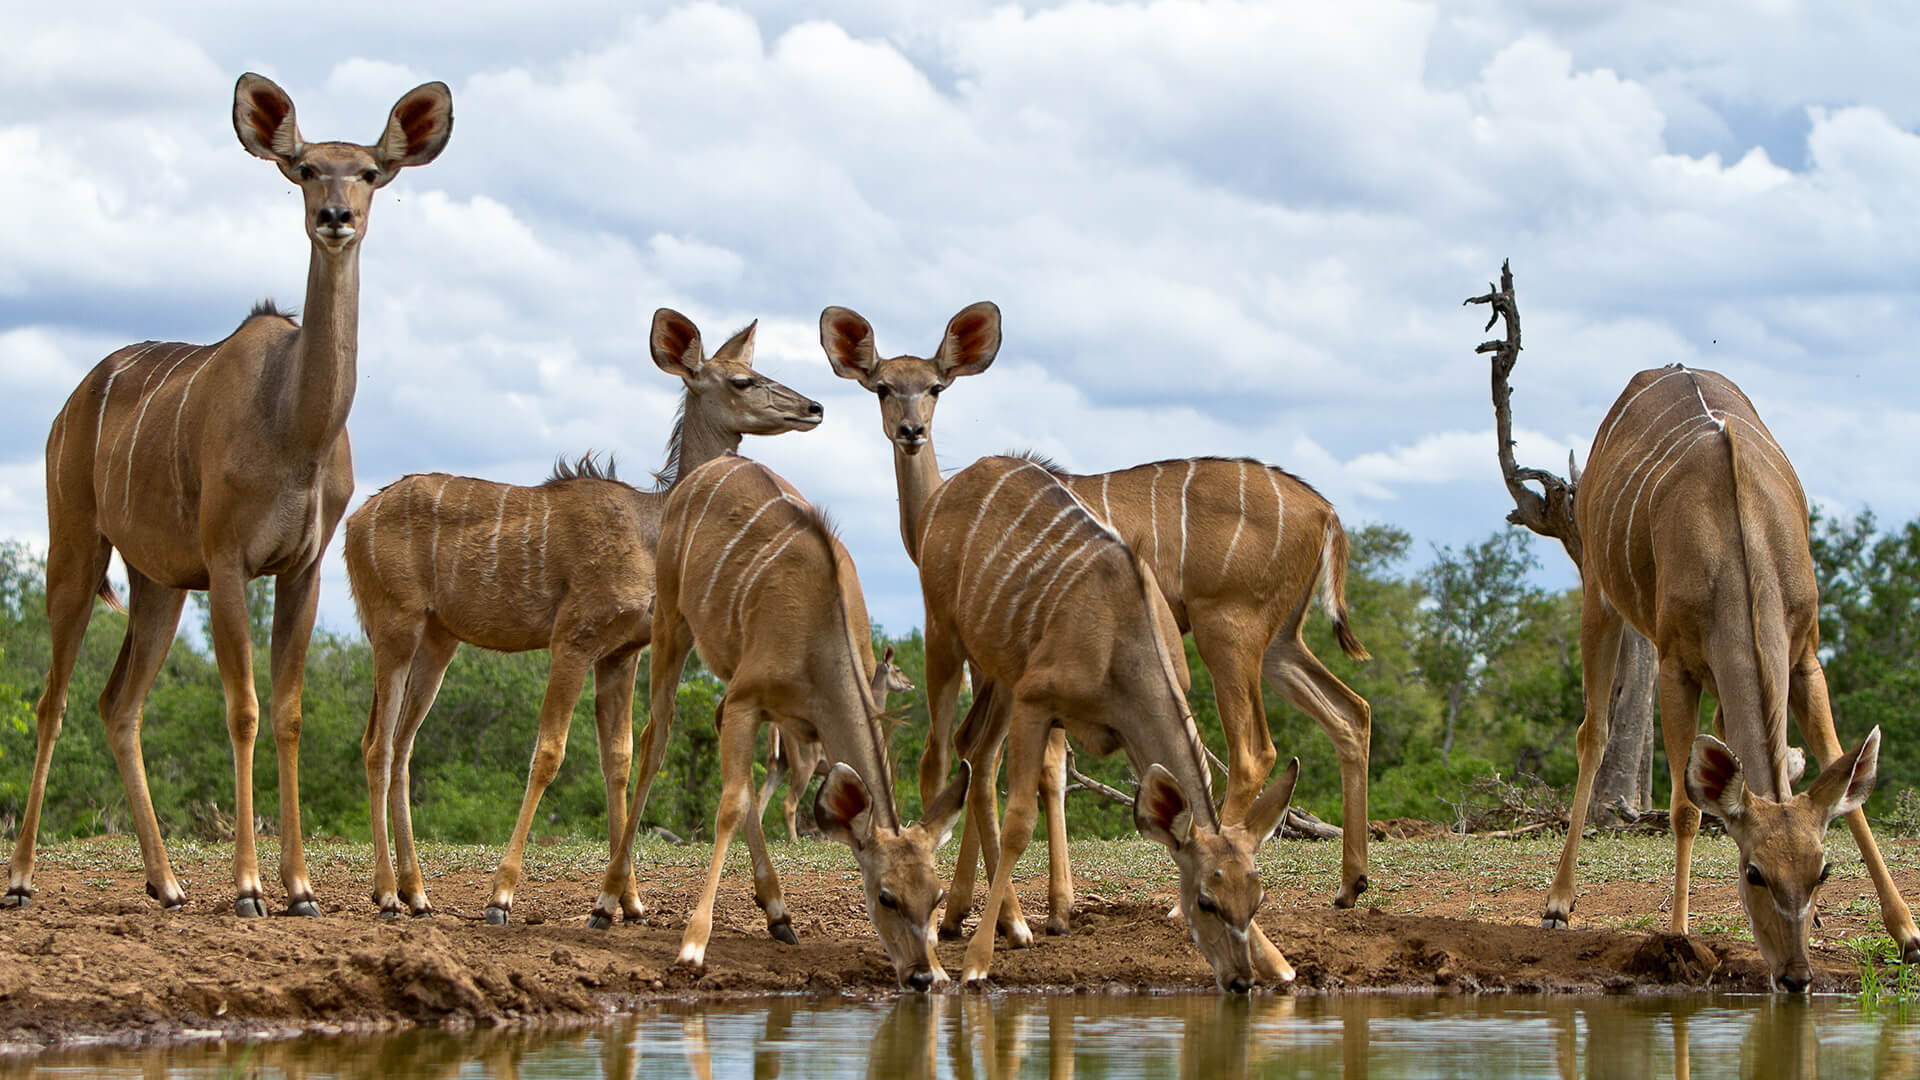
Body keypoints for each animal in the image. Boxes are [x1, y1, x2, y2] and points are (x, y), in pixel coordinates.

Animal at [5, 75, 451, 910]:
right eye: (306, 168)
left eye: (369, 172)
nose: (336, 217)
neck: (294, 426)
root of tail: (68, 405)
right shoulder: (228, 563)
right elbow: (242, 709)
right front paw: (248, 885)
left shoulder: (301, 569)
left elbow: (289, 712)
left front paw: (300, 887)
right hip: (76, 546)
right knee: (53, 701)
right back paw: (19, 879)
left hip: (156, 583)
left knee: (117, 704)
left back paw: (167, 882)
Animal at [347, 307, 825, 922]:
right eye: (742, 380)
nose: (812, 407)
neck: (652, 528)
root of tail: (353, 523)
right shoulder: (574, 639)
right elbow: (548, 753)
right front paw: (501, 895)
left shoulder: (621, 653)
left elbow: (618, 759)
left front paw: (629, 901)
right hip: (395, 628)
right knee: (378, 745)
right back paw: (386, 892)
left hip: (439, 640)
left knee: (405, 745)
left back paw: (417, 892)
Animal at [587, 453, 975, 983]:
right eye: (886, 897)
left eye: (936, 897)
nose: (923, 975)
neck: (820, 638)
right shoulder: (749, 699)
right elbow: (730, 806)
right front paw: (692, 946)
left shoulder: (772, 713)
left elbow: (750, 792)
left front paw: (775, 912)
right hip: (671, 621)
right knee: (655, 739)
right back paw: (607, 903)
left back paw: (778, 913)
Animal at [917, 449, 1305, 991]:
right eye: (1205, 901)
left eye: (1257, 899)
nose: (1240, 980)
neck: (1121, 643)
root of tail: (953, 486)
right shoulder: (1037, 701)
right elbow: (1020, 822)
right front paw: (976, 962)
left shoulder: (1116, 724)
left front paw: (1279, 963)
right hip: (943, 636)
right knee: (937, 754)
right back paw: (944, 927)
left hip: (999, 673)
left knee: (974, 750)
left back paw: (1004, 922)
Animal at [1543, 365, 1920, 991]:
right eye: (1753, 873)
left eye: (1822, 872)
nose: (1795, 976)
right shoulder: (1675, 665)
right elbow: (1687, 807)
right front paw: (1677, 936)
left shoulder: (1804, 657)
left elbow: (1842, 776)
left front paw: (1908, 934)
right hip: (1599, 592)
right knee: (1592, 734)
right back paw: (1557, 903)